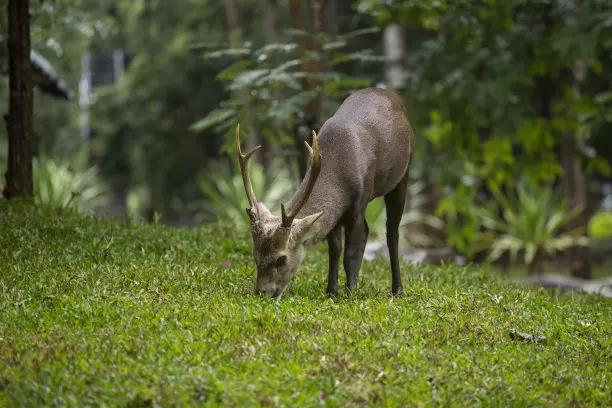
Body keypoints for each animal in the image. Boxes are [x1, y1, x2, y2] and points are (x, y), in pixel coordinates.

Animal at [237, 87, 414, 298]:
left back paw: (398, 291)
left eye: (281, 259)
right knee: (369, 230)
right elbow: (335, 250)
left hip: (403, 174)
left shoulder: (360, 199)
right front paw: (332, 292)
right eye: (255, 255)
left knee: (392, 232)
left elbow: (350, 253)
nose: (262, 292)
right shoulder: (335, 213)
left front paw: (349, 294)